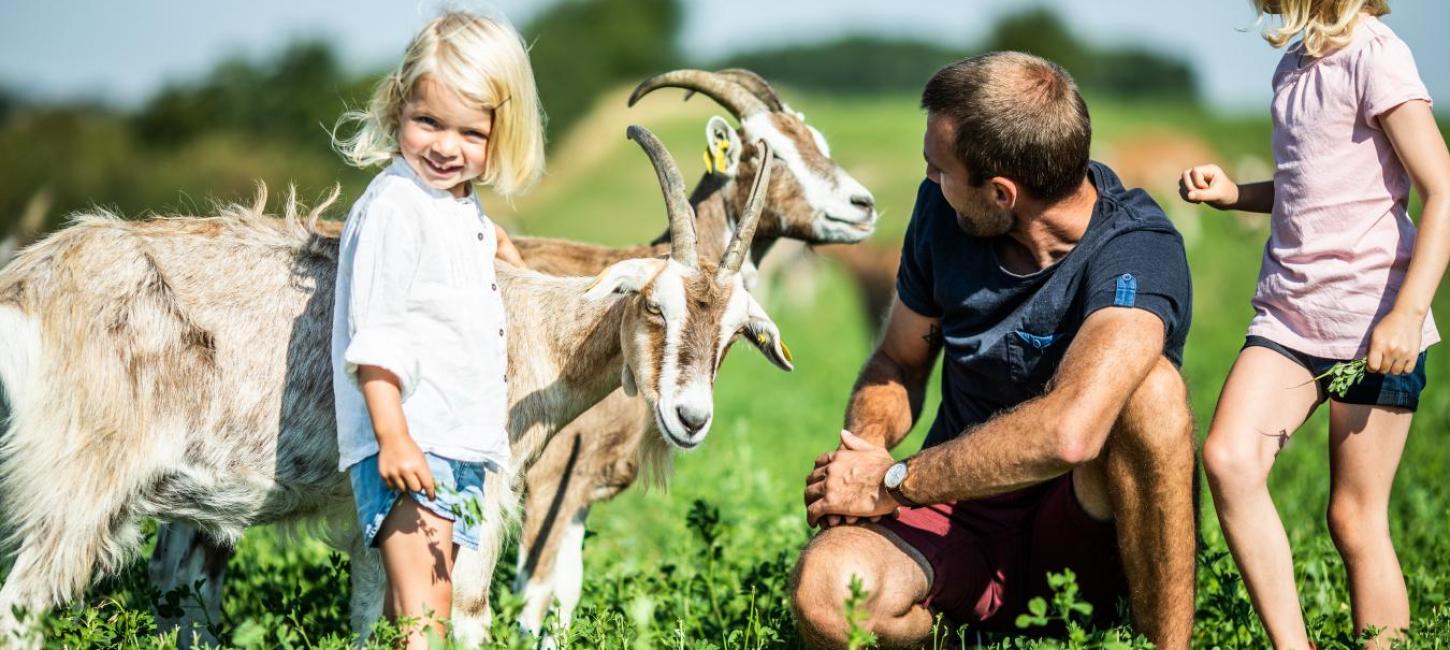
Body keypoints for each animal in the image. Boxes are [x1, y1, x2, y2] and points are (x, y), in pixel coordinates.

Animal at [0, 125, 788, 644]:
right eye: (656, 305)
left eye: (735, 335)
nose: (690, 417)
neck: (525, 324)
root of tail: (27, 285)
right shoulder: (469, 503)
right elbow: (466, 614)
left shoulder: (374, 523)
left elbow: (369, 617)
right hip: (79, 490)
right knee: (21, 607)